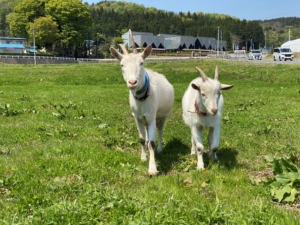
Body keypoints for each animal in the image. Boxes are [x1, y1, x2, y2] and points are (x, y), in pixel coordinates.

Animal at [109, 29, 175, 175]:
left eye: (141, 63)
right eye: (122, 65)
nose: (132, 82)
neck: (142, 98)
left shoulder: (151, 116)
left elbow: (151, 142)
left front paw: (153, 169)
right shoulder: (137, 117)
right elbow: (142, 139)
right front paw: (144, 158)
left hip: (163, 115)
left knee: (160, 130)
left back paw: (160, 149)